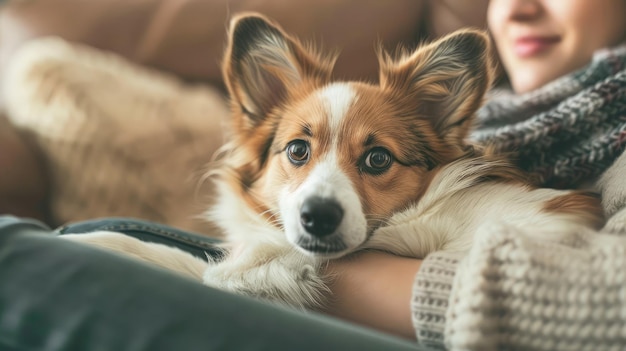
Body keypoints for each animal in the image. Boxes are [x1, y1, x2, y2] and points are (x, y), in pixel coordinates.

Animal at [64, 13, 604, 310]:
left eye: (378, 158)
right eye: (297, 150)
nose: (318, 217)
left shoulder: (535, 226)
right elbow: (185, 262)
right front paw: (97, 242)